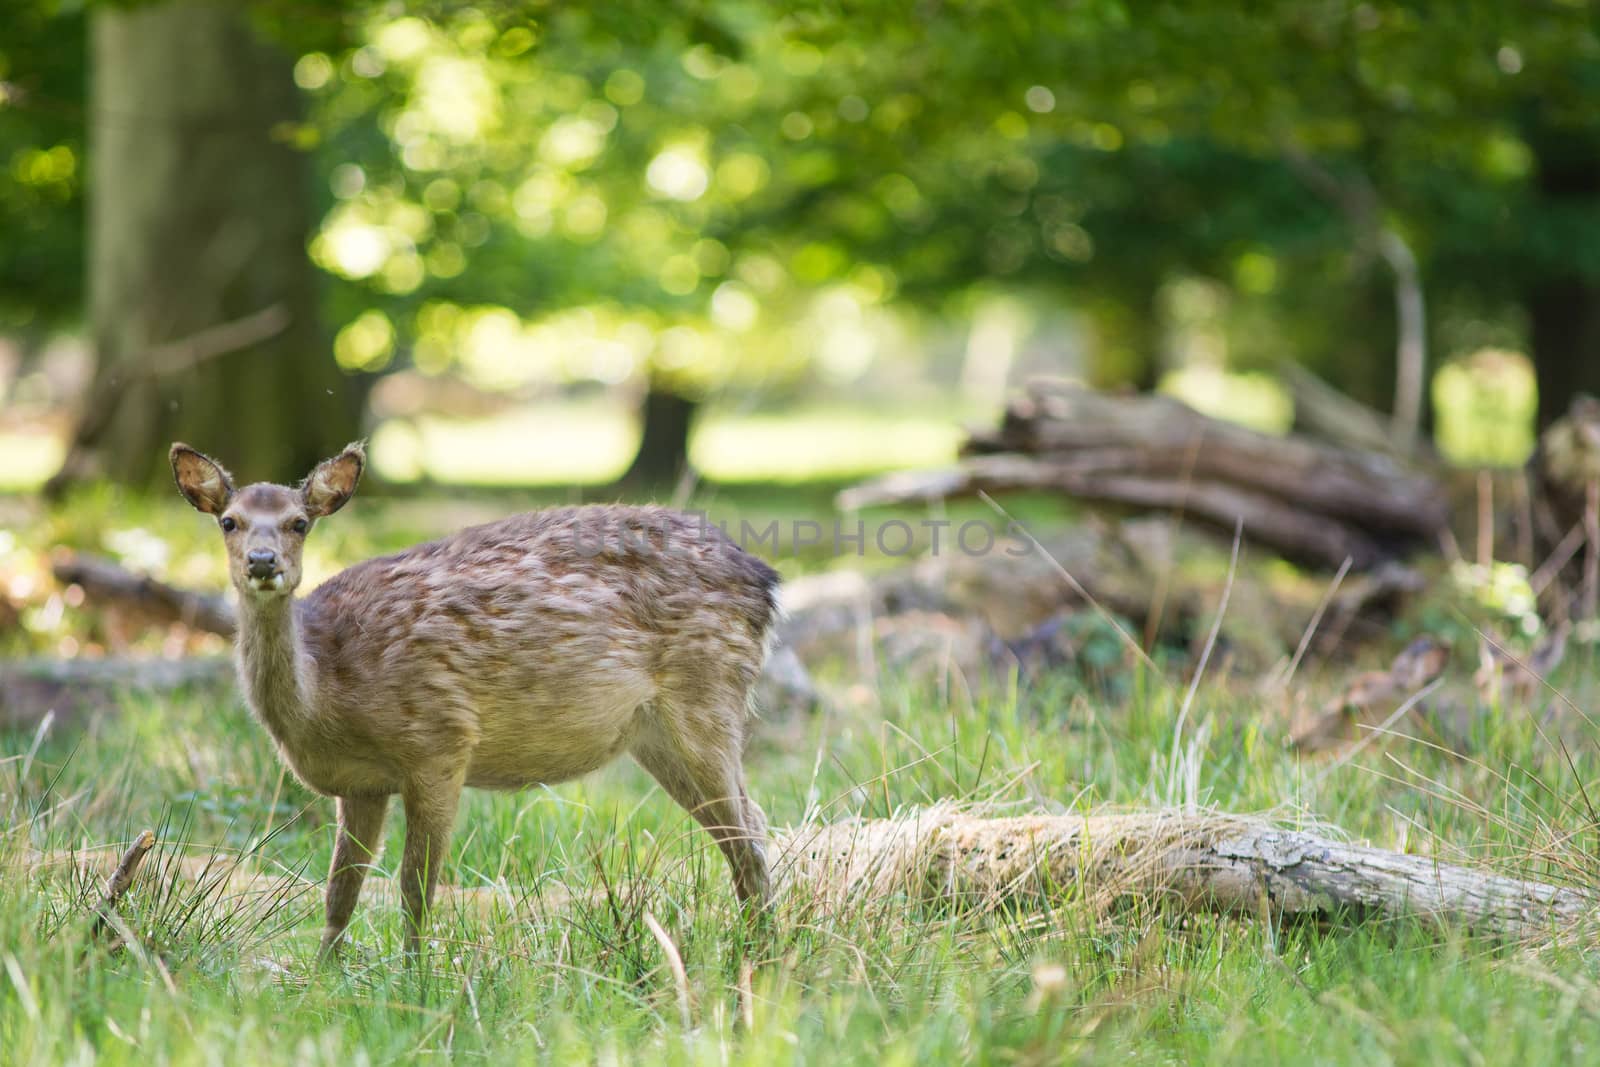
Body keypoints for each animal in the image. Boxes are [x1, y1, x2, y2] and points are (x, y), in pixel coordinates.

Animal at [168, 441, 780, 959]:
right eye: (229, 521)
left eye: (300, 522)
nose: (263, 561)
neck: (329, 697)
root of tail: (765, 581)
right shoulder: (361, 784)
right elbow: (340, 892)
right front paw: (323, 977)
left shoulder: (439, 741)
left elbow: (415, 888)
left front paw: (415, 979)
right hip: (656, 733)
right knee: (745, 826)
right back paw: (757, 944)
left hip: (707, 690)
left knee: (749, 834)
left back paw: (761, 955)